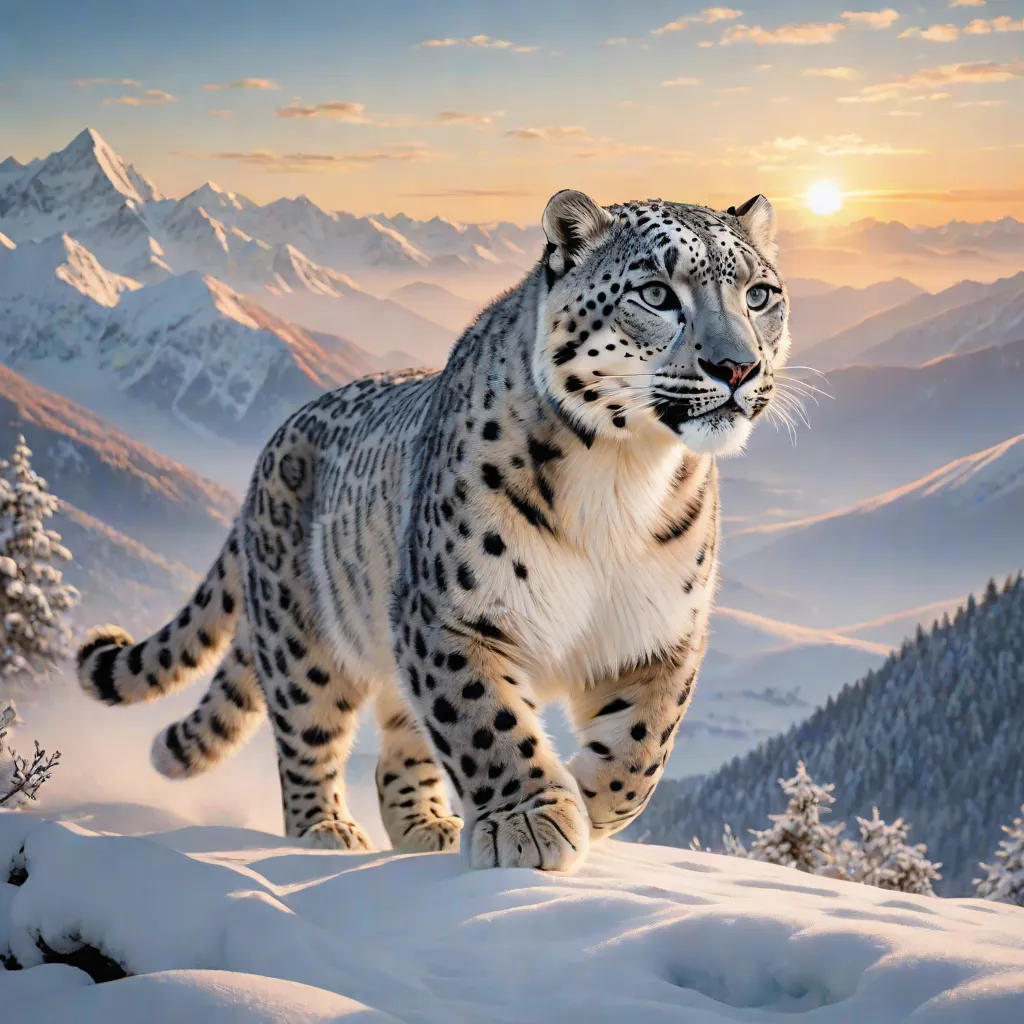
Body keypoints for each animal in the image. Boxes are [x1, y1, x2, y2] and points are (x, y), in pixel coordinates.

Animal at [77, 189, 790, 871]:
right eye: (657, 294)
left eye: (759, 295)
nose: (737, 368)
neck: (621, 477)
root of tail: (273, 446)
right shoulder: (455, 614)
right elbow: (486, 721)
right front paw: (531, 819)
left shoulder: (659, 632)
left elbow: (640, 754)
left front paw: (582, 803)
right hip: (304, 640)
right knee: (310, 733)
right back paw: (326, 832)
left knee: (401, 743)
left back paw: (429, 827)